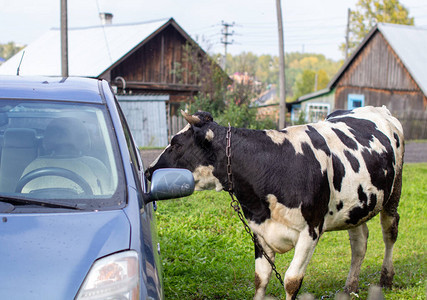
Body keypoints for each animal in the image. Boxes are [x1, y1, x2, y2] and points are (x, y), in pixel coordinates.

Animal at [147, 105, 404, 298]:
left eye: (176, 143)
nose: (149, 171)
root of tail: (376, 108)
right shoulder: (260, 231)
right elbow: (260, 279)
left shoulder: (310, 232)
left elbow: (291, 281)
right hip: (357, 206)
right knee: (359, 242)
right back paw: (350, 287)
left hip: (394, 191)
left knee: (389, 232)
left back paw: (386, 278)